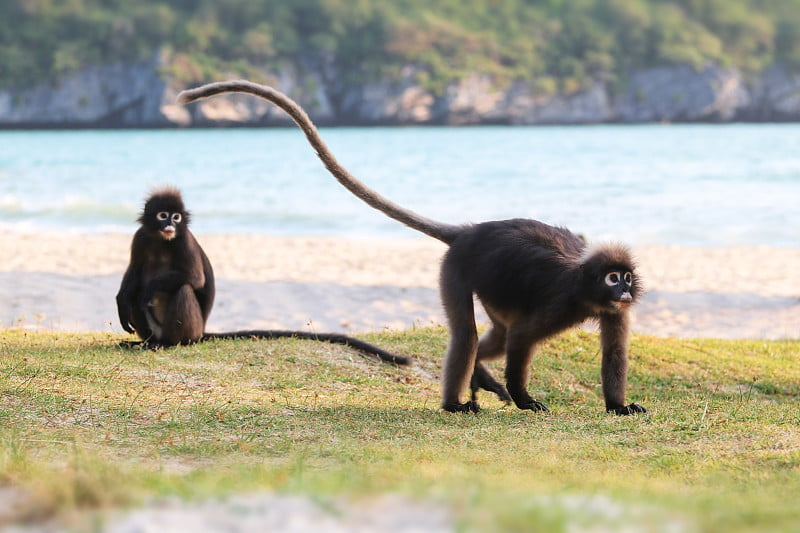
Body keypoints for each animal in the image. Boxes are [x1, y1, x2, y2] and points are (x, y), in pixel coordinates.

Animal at [119, 184, 412, 366]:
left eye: (177, 217)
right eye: (163, 215)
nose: (170, 224)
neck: (162, 240)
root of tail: (201, 332)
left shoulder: (184, 240)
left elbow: (194, 279)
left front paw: (149, 291)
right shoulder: (141, 237)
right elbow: (132, 277)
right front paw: (121, 301)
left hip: (190, 330)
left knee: (182, 289)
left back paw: (168, 344)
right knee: (137, 296)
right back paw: (144, 342)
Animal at [178, 80, 648, 412]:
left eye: (626, 277)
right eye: (613, 277)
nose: (625, 288)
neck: (587, 290)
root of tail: (468, 231)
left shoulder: (615, 312)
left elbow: (615, 351)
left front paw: (618, 406)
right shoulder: (560, 302)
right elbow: (522, 339)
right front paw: (524, 399)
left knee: (491, 335)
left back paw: (478, 377)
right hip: (456, 268)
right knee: (469, 334)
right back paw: (455, 402)